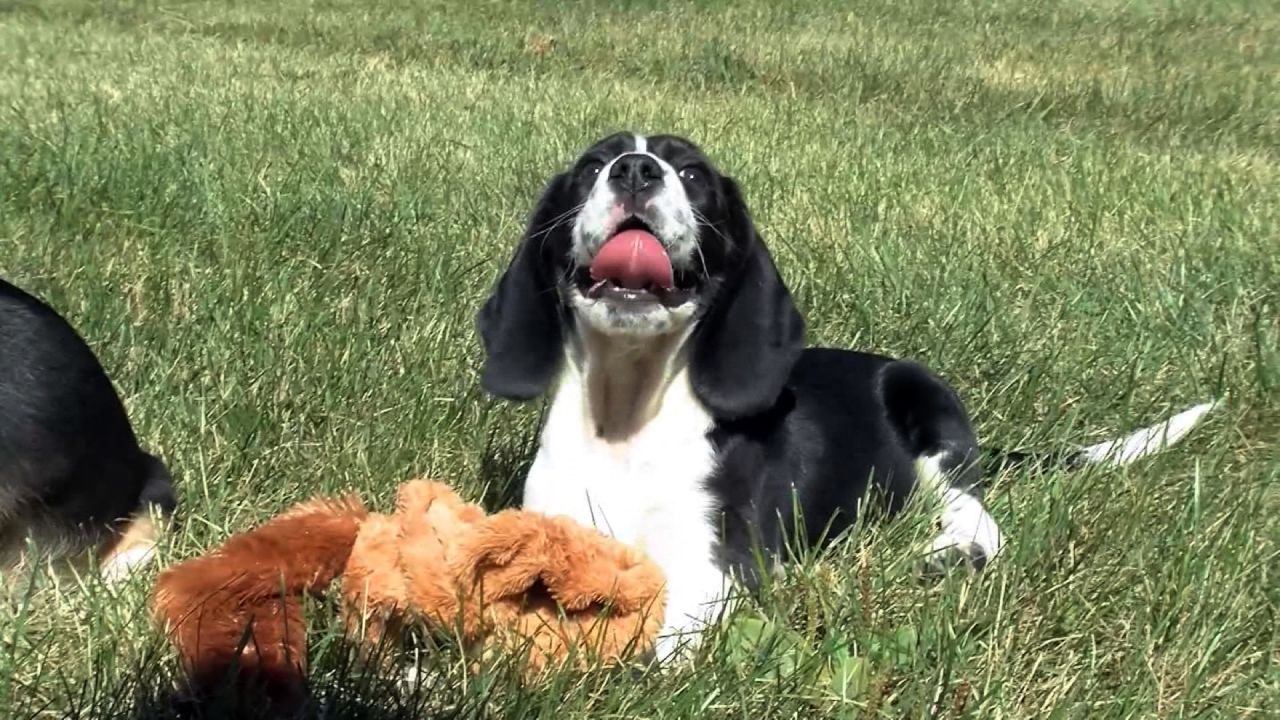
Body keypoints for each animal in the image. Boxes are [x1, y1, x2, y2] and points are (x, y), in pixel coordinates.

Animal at [478, 130, 1208, 655]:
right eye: (590, 166)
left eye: (693, 175)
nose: (634, 170)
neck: (627, 417)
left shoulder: (720, 566)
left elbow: (666, 631)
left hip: (928, 406)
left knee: (977, 513)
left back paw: (952, 551)